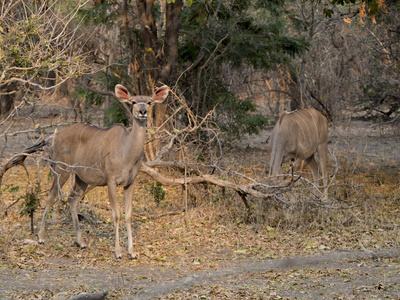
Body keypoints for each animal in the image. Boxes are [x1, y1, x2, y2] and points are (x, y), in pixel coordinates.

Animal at [37, 84, 169, 258]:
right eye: (133, 102)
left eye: (149, 102)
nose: (142, 112)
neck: (127, 152)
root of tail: (57, 135)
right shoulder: (111, 180)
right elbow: (116, 214)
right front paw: (118, 252)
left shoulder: (130, 183)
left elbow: (128, 215)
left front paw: (132, 252)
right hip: (62, 168)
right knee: (51, 195)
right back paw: (40, 237)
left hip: (81, 178)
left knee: (72, 200)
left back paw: (81, 242)